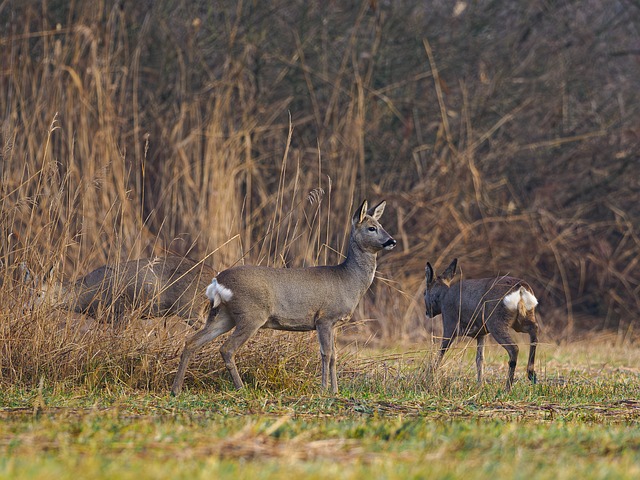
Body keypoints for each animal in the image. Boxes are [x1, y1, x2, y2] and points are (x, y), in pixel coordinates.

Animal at [21, 256, 215, 327]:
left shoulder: (122, 312)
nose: (25, 309)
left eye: (39, 294)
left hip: (190, 306)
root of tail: (213, 273)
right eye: (26, 291)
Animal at [170, 200, 396, 396]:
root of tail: (217, 281)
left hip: (223, 315)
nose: (392, 241)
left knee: (192, 341)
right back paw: (241, 388)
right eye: (372, 228)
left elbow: (334, 355)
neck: (348, 279)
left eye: (381, 225)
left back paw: (176, 389)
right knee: (226, 348)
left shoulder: (333, 324)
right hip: (251, 314)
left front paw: (335, 390)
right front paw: (325, 390)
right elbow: (326, 354)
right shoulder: (324, 318)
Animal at [424, 258, 539, 391]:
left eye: (424, 293)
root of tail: (520, 289)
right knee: (534, 333)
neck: (443, 298)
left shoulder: (449, 322)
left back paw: (508, 388)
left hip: (496, 321)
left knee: (514, 348)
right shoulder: (481, 334)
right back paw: (531, 374)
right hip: (523, 318)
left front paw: (429, 378)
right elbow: (480, 359)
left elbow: (441, 352)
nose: (427, 312)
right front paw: (480, 384)